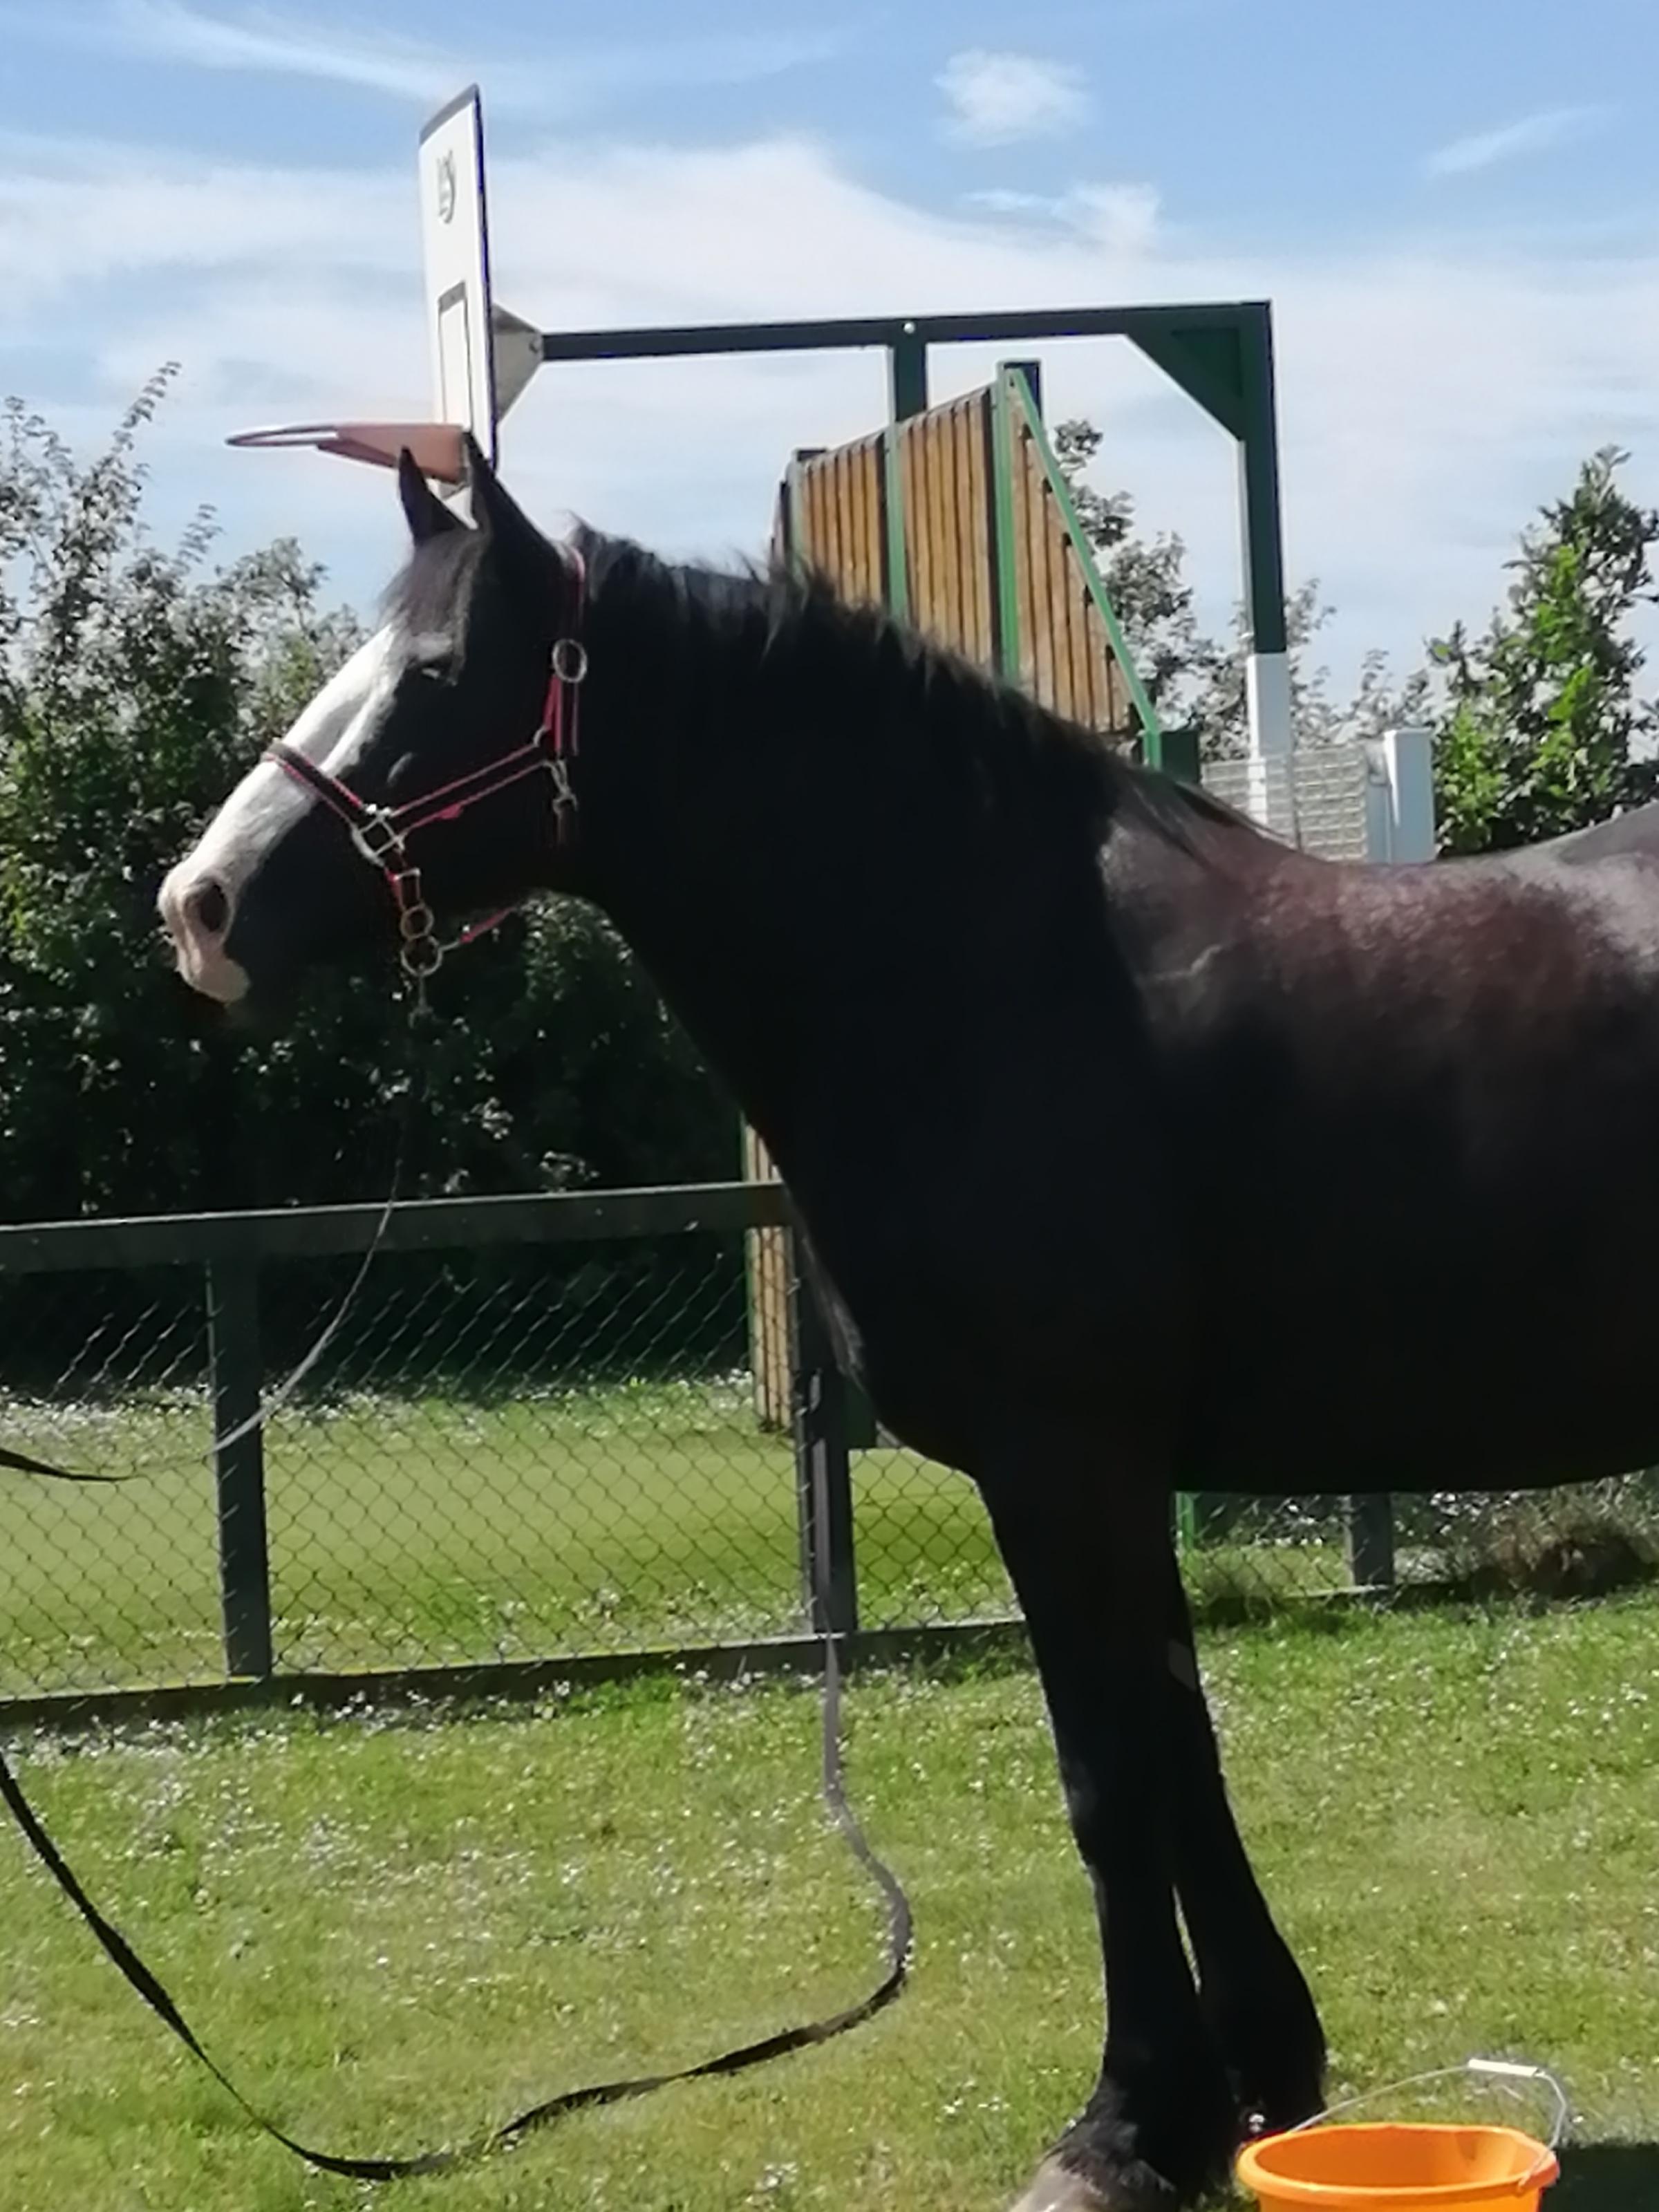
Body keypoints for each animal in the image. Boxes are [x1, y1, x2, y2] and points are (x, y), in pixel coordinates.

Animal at [159, 440, 1659, 2203]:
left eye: (441, 675)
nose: (200, 906)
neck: (982, 972)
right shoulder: (1115, 1475)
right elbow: (1180, 1753)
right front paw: (1250, 2080)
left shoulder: (1060, 1460)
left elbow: (1110, 1780)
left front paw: (1121, 2125)